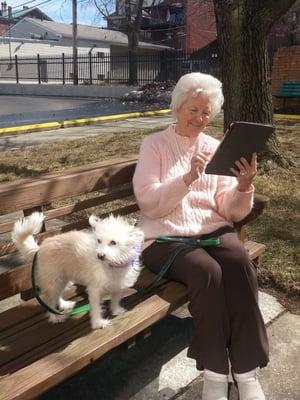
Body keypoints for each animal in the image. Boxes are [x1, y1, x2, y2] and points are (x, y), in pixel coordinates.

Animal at [13, 214, 145, 330]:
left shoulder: (118, 285)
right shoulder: (94, 290)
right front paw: (98, 323)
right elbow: (96, 307)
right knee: (48, 301)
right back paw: (55, 317)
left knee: (57, 295)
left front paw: (116, 310)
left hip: (62, 279)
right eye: (99, 241)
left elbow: (116, 298)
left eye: (113, 242)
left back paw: (63, 304)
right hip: (53, 281)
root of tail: (39, 249)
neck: (112, 265)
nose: (100, 256)